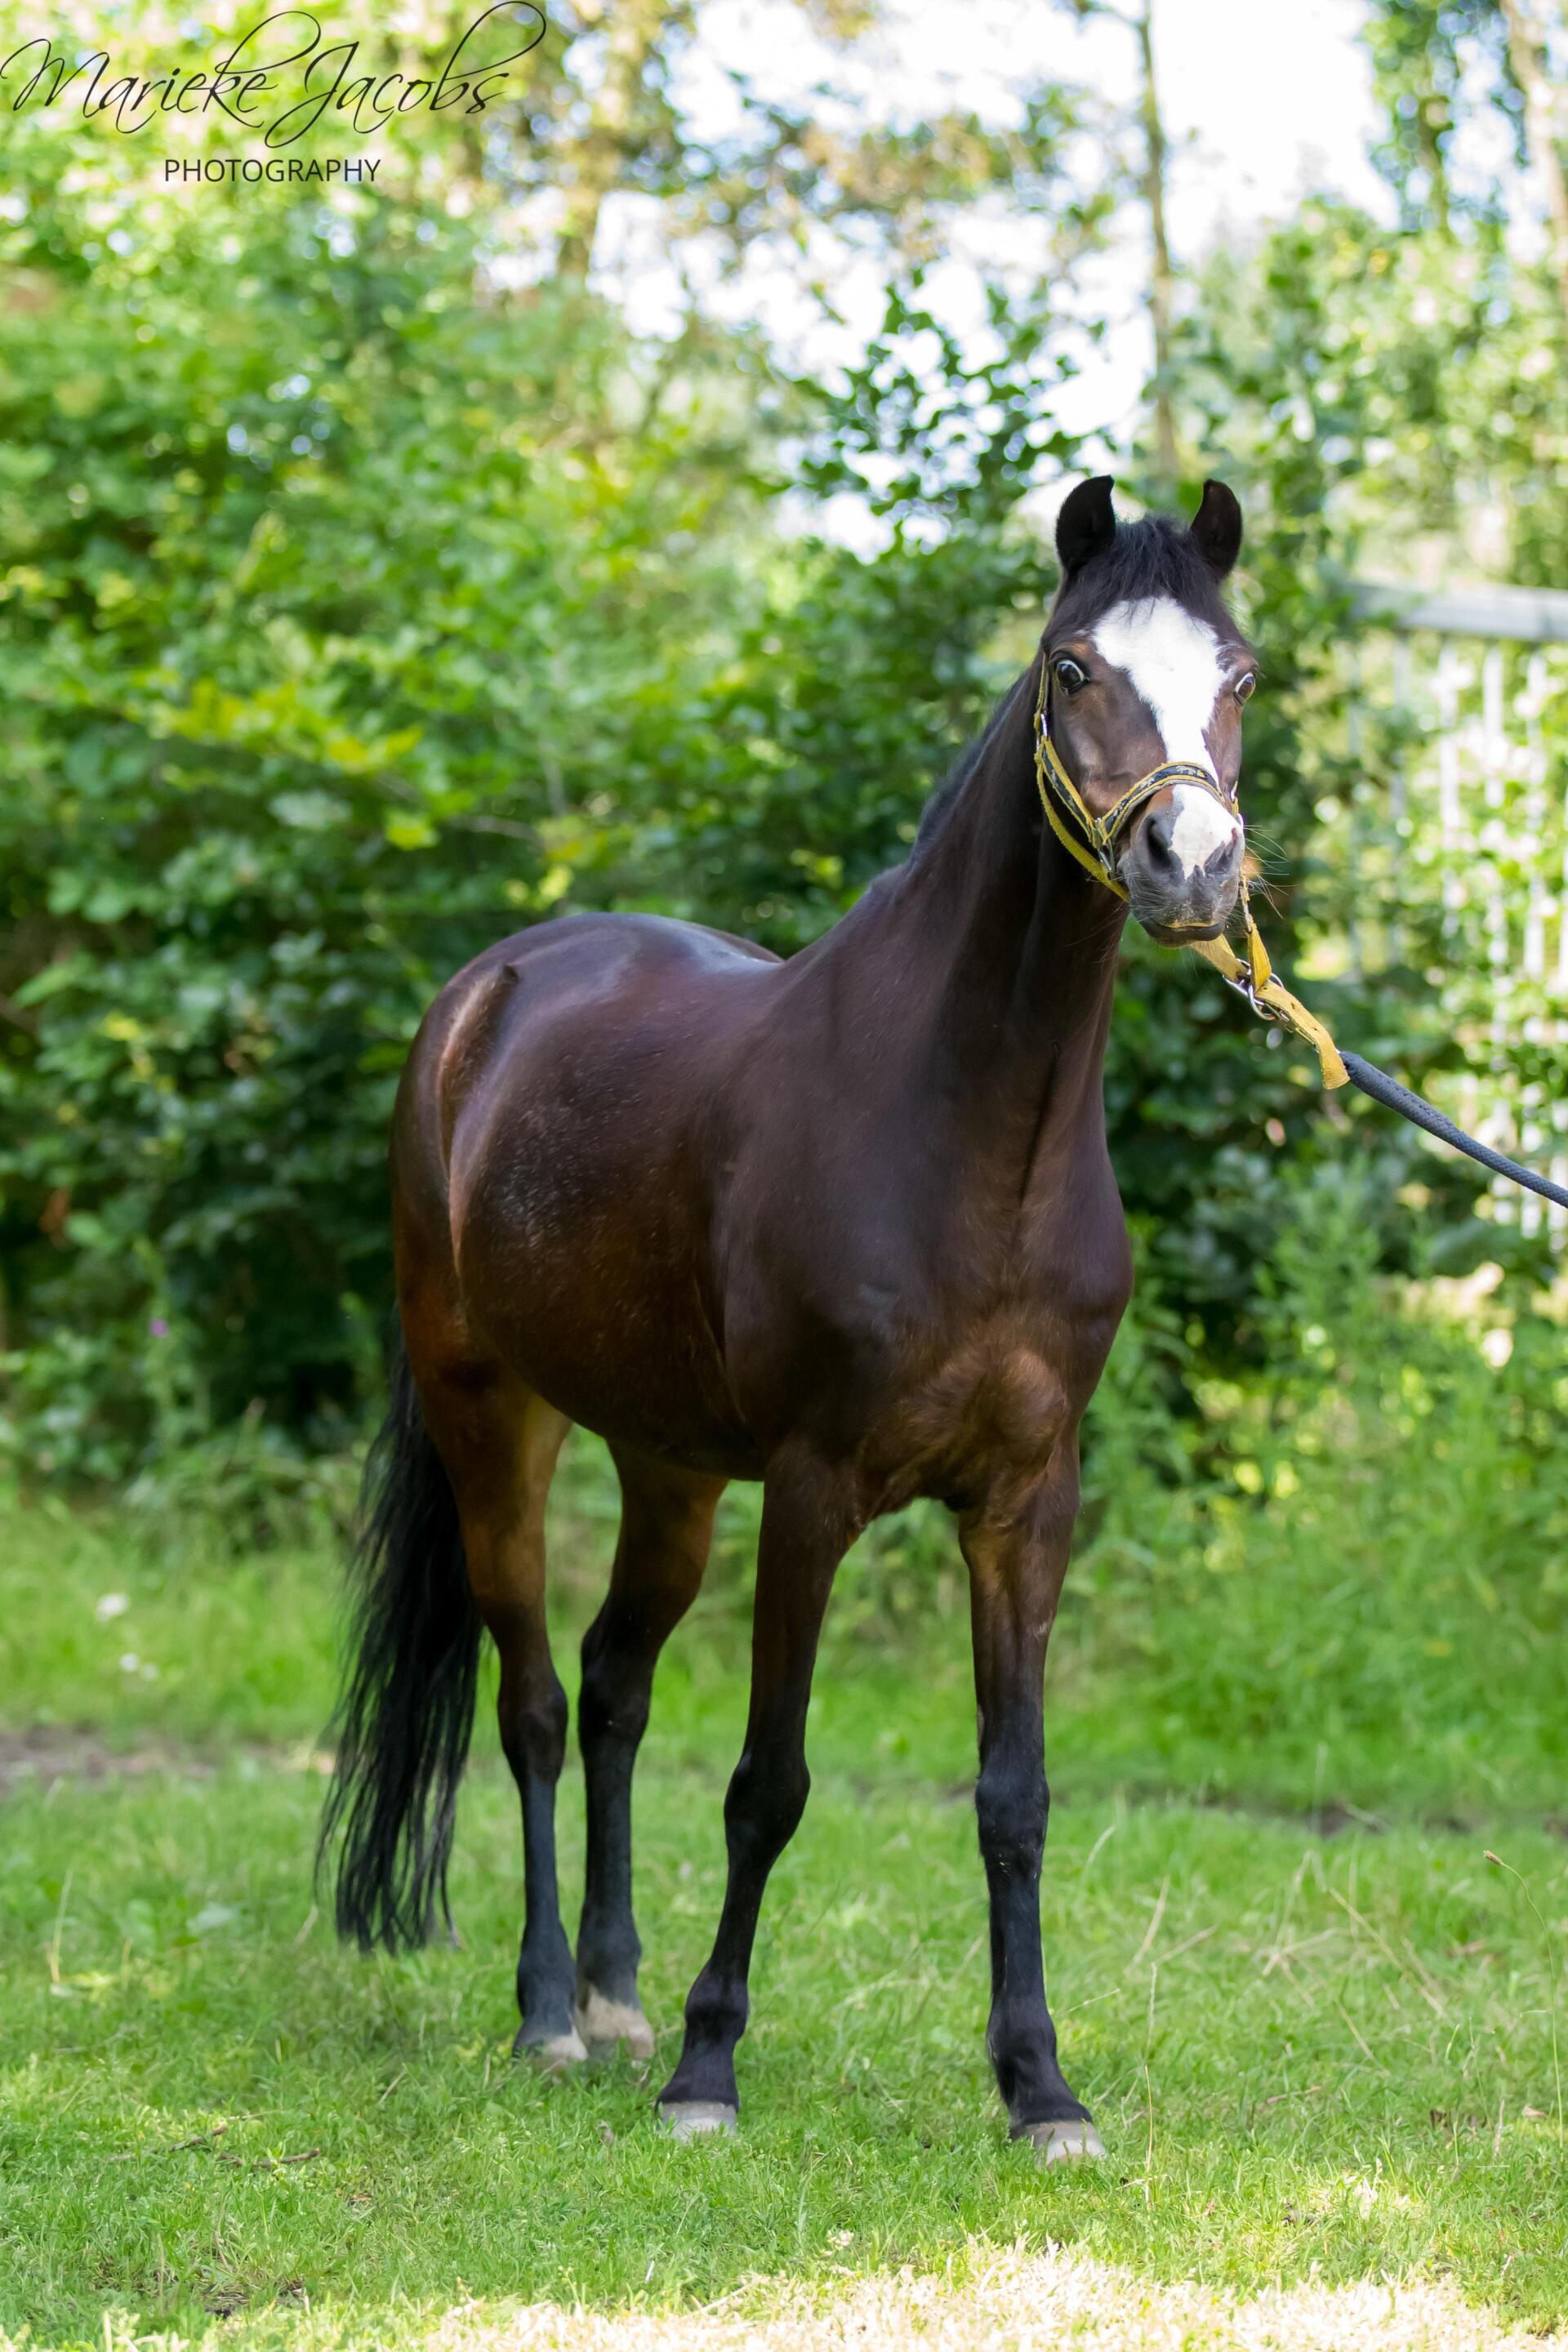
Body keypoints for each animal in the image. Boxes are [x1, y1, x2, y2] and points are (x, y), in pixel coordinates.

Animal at [321, 473, 1255, 2162]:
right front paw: (709, 2070)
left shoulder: (1029, 1500)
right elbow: (769, 1783)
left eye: (1241, 675)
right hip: (496, 1419)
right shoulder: (817, 1489)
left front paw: (1041, 2089)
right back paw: (554, 2016)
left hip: (672, 1466)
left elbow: (1014, 1797)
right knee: (537, 1702)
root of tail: (488, 994)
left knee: (615, 1689)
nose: (1193, 861)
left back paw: (615, 1999)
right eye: (1075, 666)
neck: (974, 1141)